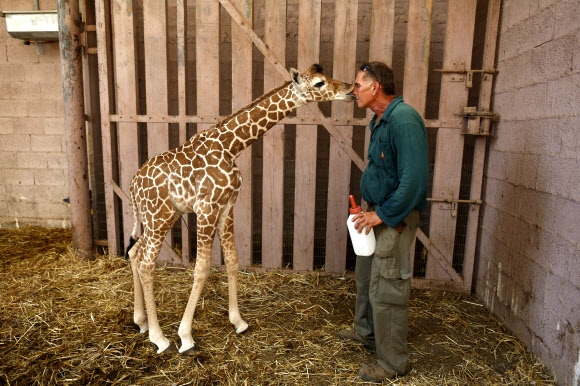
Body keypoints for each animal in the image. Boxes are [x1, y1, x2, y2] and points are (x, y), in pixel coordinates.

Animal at [127, 64, 354, 356]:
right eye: (319, 83)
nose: (349, 89)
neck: (231, 146)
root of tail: (132, 185)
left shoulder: (227, 207)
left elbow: (233, 260)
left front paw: (238, 322)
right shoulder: (207, 208)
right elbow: (202, 268)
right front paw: (186, 337)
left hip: (157, 217)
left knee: (135, 252)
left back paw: (141, 322)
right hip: (159, 217)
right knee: (146, 264)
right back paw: (159, 338)